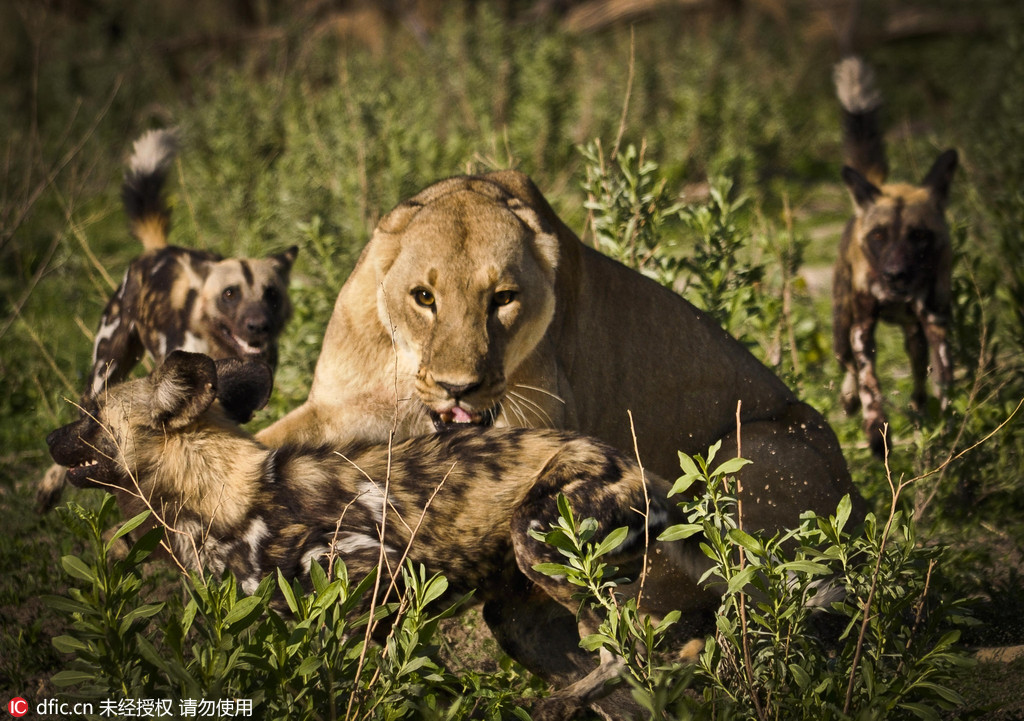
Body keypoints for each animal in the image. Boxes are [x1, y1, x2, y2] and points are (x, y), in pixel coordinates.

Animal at [36, 128, 299, 512]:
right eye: (230, 294)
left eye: (272, 295)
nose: (257, 326)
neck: (220, 348)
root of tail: (156, 250)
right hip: (103, 372)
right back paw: (48, 488)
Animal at [44, 350, 708, 721]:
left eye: (90, 416)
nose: (47, 438)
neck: (217, 493)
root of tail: (636, 468)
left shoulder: (383, 580)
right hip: (521, 623)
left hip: (542, 544)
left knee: (650, 649)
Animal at [831, 54, 958, 456]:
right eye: (878, 236)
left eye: (918, 236)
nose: (895, 274)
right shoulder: (862, 328)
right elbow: (870, 381)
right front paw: (875, 432)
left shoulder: (935, 321)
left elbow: (944, 379)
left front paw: (949, 428)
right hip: (842, 329)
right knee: (848, 366)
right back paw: (849, 400)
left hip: (913, 334)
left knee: (918, 369)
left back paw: (919, 409)